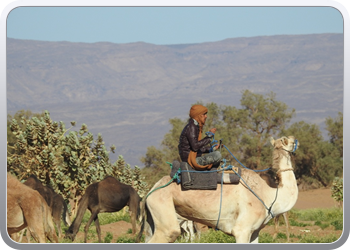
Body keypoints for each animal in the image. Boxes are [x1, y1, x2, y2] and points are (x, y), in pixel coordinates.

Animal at [137, 136, 298, 243]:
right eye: (286, 140)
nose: (294, 138)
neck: (269, 195)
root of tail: (151, 191)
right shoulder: (242, 230)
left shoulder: (254, 232)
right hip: (163, 211)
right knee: (170, 232)